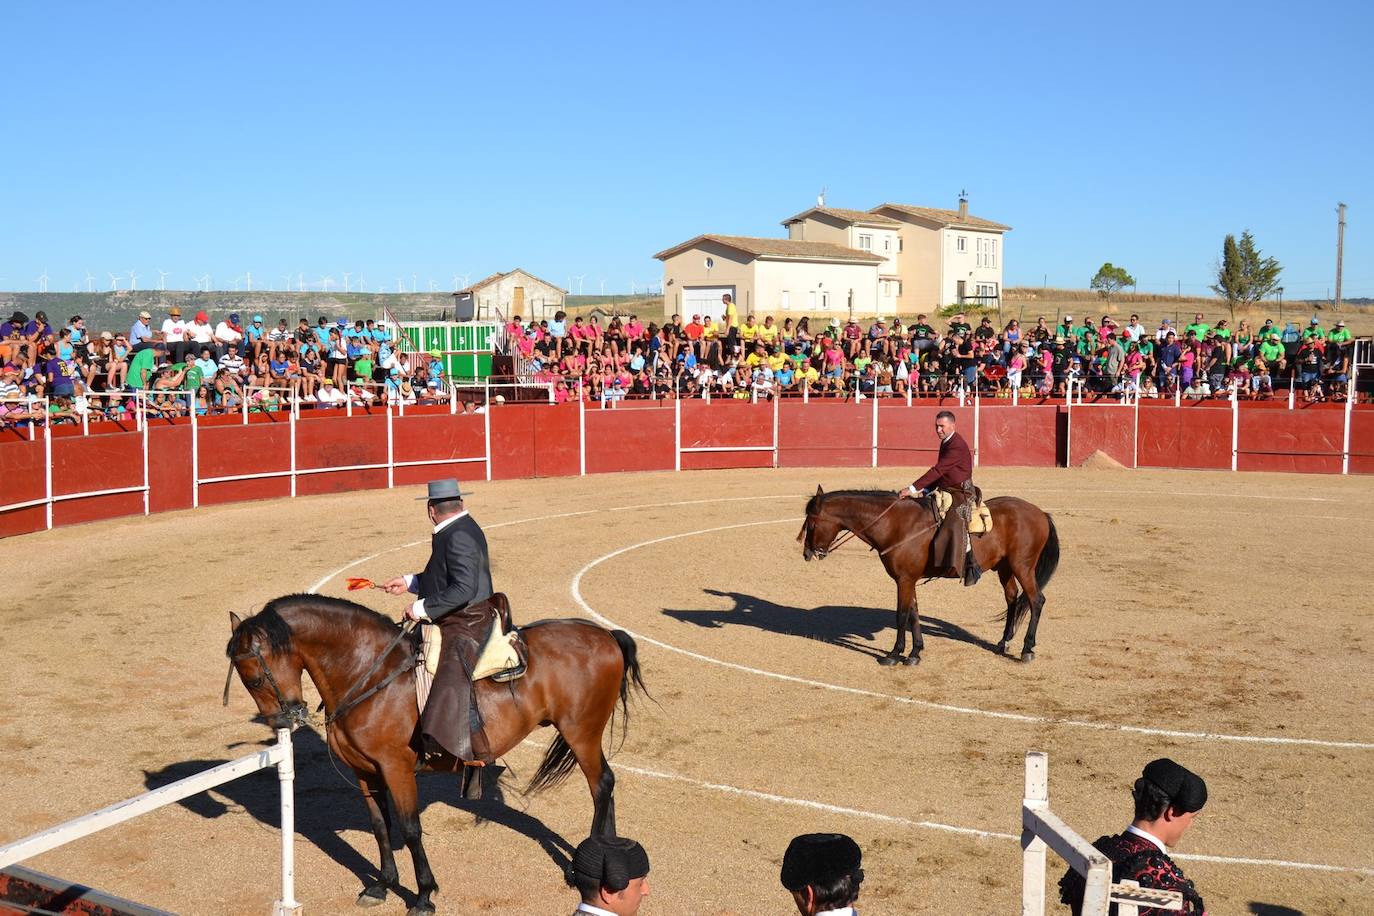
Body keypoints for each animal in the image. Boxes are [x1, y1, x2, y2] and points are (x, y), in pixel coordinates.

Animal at [226, 596, 648, 916]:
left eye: (255, 677)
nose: (285, 720)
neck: (368, 673)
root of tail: (605, 634)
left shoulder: (396, 769)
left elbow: (410, 828)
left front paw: (424, 896)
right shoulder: (365, 772)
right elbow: (381, 826)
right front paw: (382, 885)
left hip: (581, 732)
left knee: (601, 785)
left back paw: (586, 870)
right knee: (606, 785)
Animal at [796, 486, 1060, 667]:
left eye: (811, 522)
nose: (807, 553)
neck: (895, 524)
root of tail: (1040, 512)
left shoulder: (903, 580)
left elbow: (902, 614)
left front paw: (894, 654)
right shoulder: (907, 579)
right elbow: (913, 612)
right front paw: (915, 653)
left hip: (1022, 566)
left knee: (1036, 600)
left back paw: (1027, 649)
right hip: (1005, 568)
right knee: (1012, 598)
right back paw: (1003, 642)